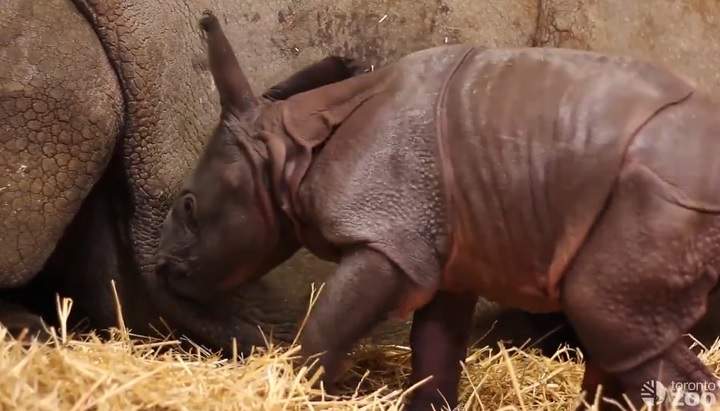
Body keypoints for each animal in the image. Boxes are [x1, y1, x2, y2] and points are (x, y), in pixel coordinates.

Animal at [157, 12, 720, 410]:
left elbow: (324, 331)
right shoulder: (445, 250)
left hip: (662, 197)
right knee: (619, 336)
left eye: (188, 206)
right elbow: (434, 350)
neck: (287, 148)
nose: (163, 269)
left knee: (609, 319)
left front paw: (289, 387)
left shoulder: (387, 240)